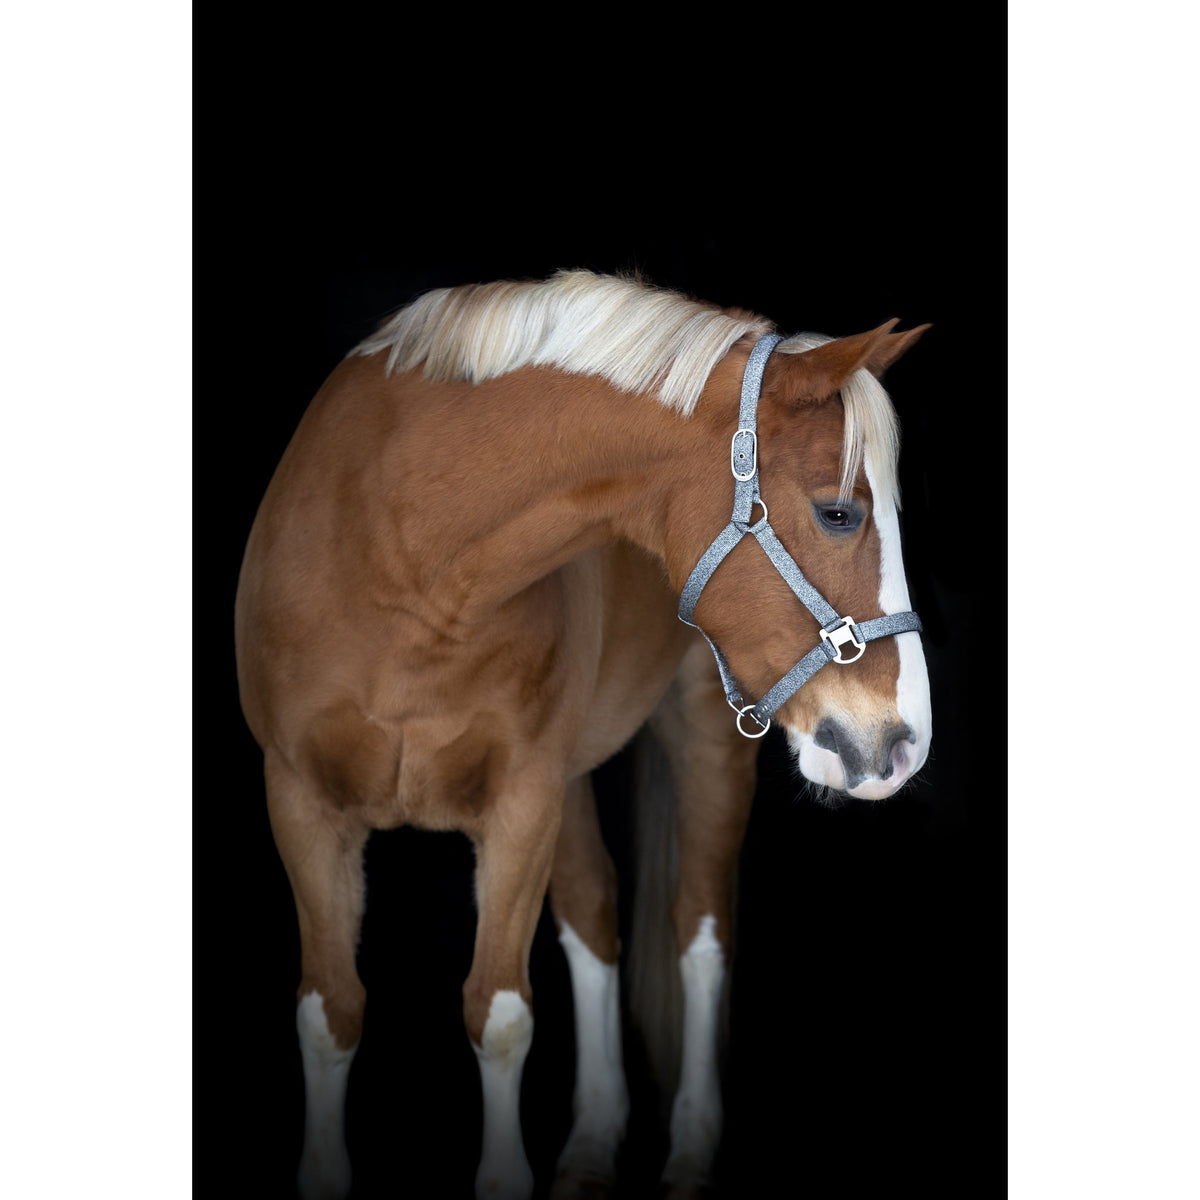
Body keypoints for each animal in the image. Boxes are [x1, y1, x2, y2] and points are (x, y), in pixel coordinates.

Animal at [234, 268, 933, 1199]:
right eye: (839, 514)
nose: (902, 744)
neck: (397, 559)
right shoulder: (301, 802)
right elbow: (330, 1010)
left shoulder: (521, 801)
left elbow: (498, 1014)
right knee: (596, 911)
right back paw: (595, 1141)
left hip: (702, 734)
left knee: (698, 930)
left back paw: (688, 1151)